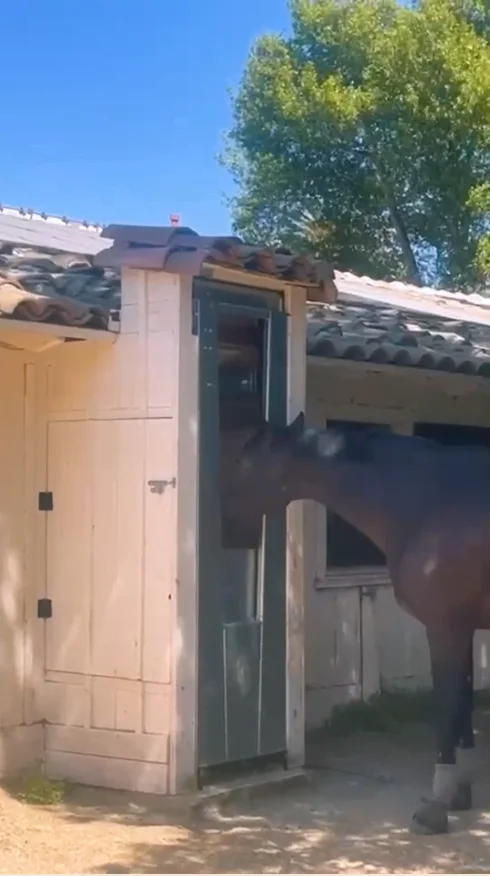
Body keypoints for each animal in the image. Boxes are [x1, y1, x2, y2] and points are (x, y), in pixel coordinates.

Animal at [220, 411, 490, 835]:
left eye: (238, 460)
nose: (224, 526)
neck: (429, 501)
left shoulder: (443, 626)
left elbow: (447, 703)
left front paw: (436, 807)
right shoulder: (461, 628)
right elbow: (461, 701)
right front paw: (458, 794)